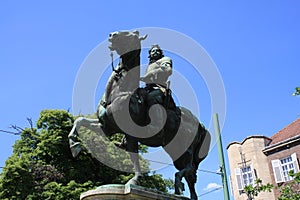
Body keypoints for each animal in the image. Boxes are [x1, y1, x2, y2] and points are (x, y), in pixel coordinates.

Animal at [69, 30, 212, 200]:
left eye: (131, 34)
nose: (112, 35)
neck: (118, 92)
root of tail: (199, 124)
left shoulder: (131, 134)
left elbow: (134, 158)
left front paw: (134, 180)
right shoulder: (106, 127)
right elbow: (79, 121)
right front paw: (74, 145)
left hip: (185, 149)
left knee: (189, 169)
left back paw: (178, 183)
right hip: (174, 149)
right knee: (190, 175)